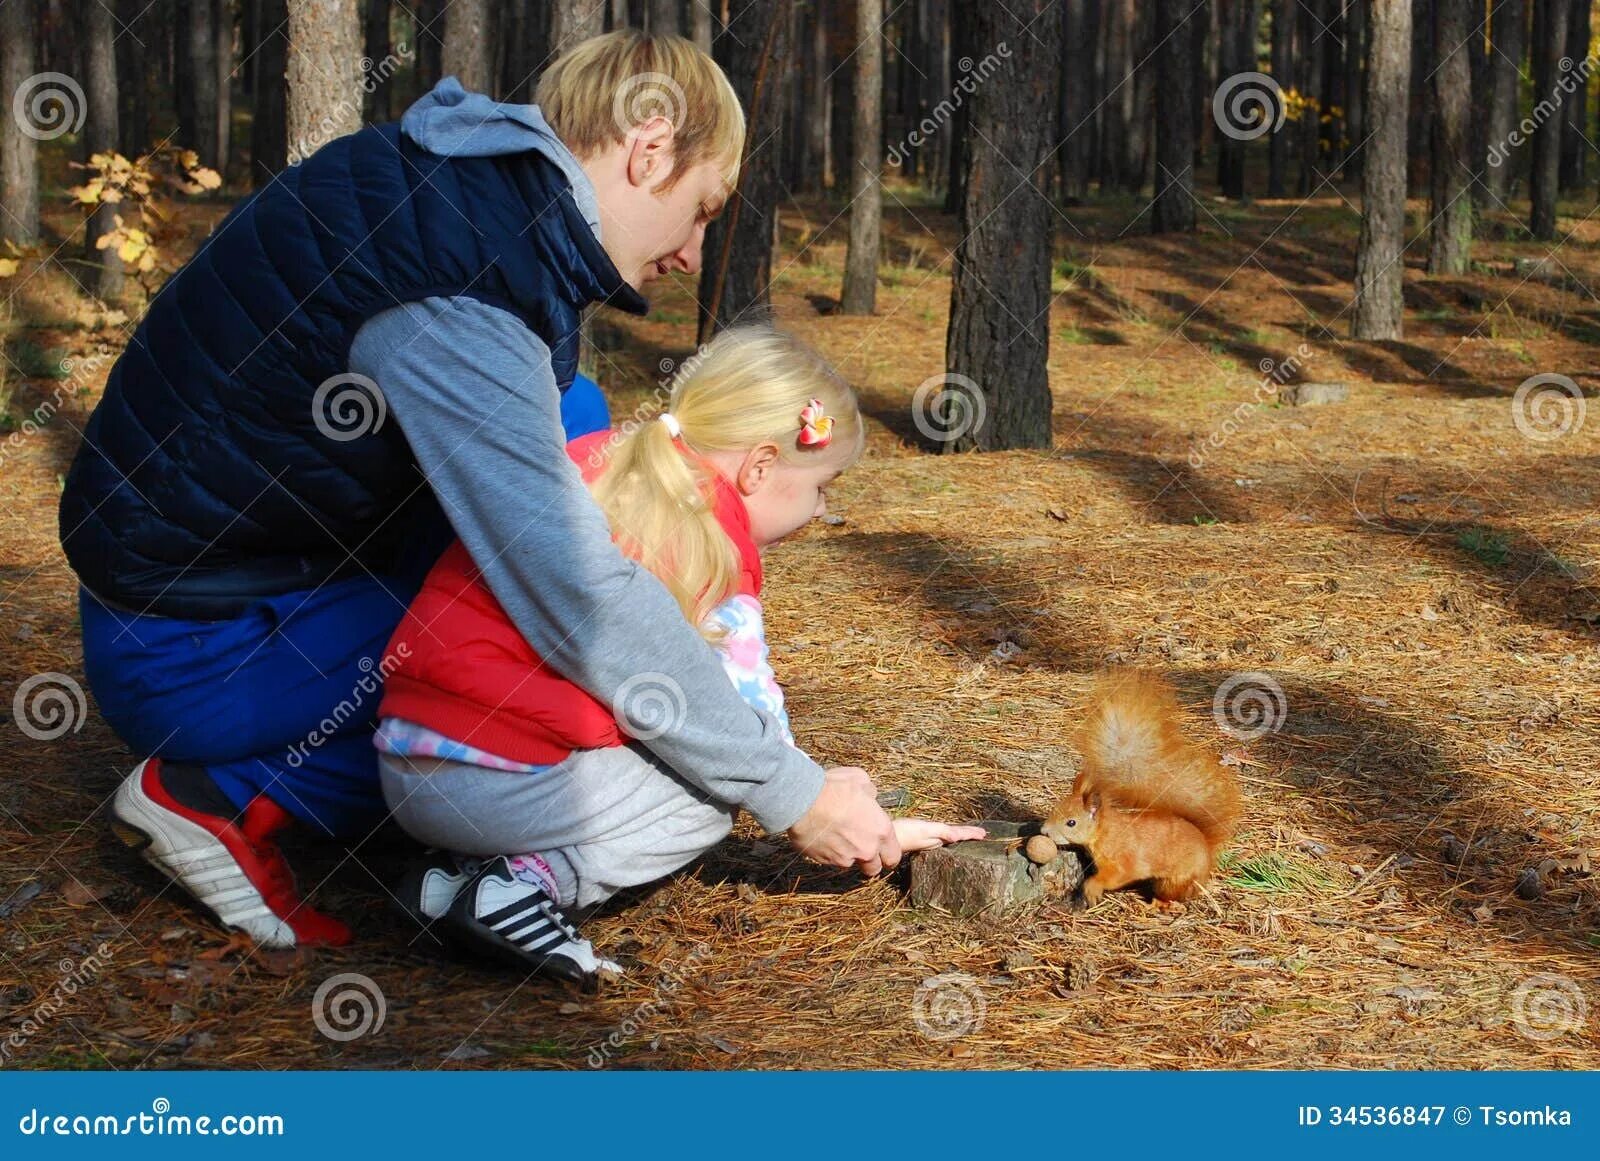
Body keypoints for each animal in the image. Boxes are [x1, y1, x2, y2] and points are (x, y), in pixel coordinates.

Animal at [1043, 671, 1241, 908]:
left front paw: (1092, 888)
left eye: (1071, 823)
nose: (1044, 831)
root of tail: (1207, 855)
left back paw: (1156, 904)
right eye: (1054, 809)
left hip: (1173, 881)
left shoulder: (1123, 860)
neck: (1106, 832)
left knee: (1173, 897)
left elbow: (1115, 876)